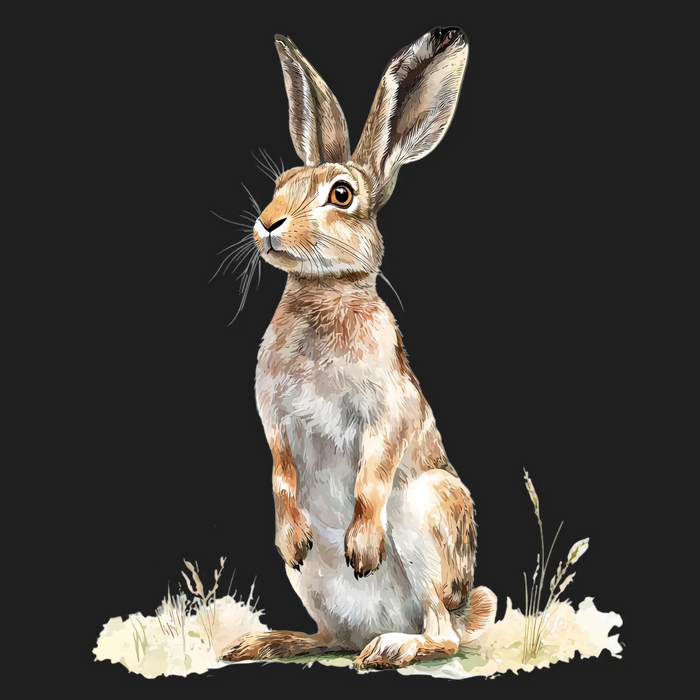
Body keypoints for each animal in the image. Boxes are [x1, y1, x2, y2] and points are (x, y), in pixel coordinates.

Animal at [222, 27, 496, 669]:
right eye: (280, 185)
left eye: (341, 195)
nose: (266, 223)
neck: (323, 296)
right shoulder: (274, 418)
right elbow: (281, 469)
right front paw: (291, 533)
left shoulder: (387, 412)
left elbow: (372, 475)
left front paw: (364, 549)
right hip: (311, 584)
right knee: (331, 637)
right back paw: (268, 641)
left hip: (427, 515)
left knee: (442, 633)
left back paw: (394, 647)